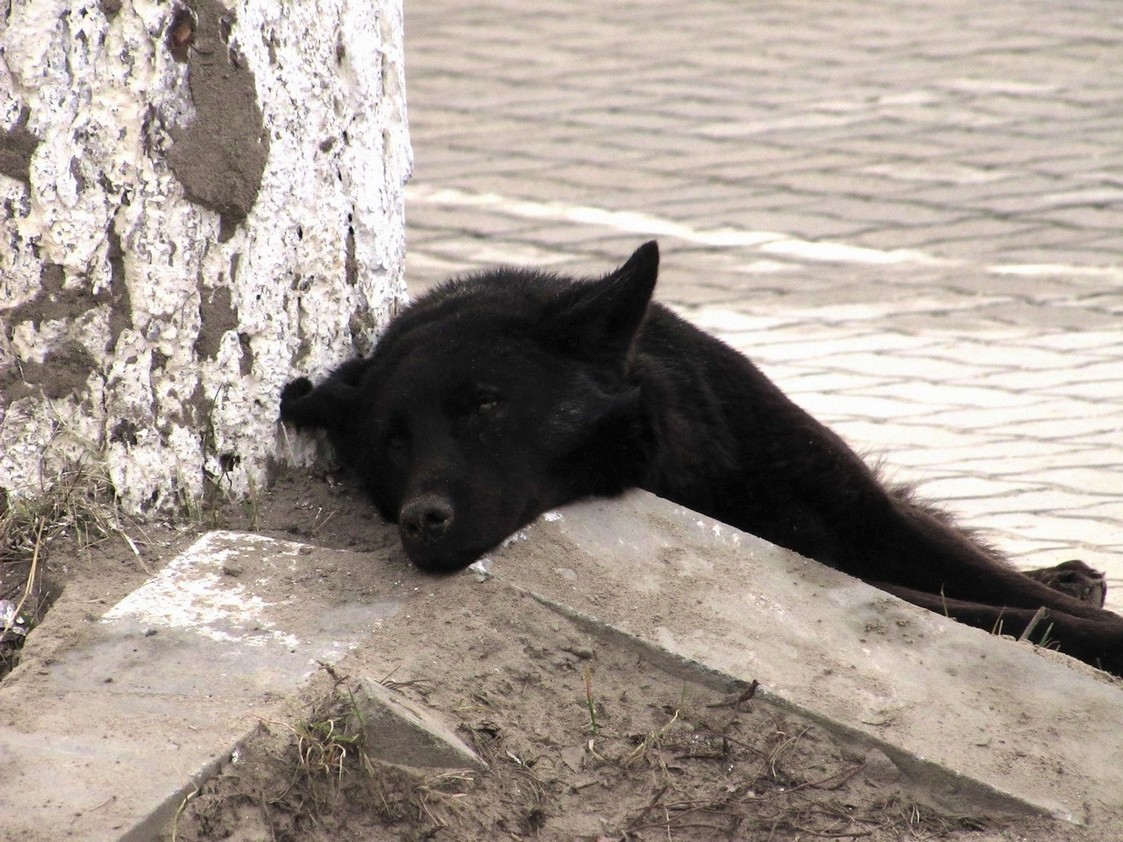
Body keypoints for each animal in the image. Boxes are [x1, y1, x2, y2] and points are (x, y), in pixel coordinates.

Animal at [278, 240, 1123, 678]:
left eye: (483, 404)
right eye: (391, 442)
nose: (421, 520)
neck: (689, 464)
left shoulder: (866, 519)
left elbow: (1003, 589)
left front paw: (1068, 598)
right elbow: (1009, 616)